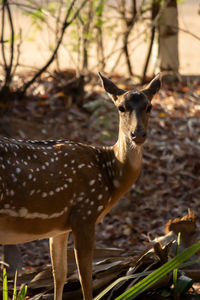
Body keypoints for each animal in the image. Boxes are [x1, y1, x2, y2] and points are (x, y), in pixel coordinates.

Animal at [0, 73, 160, 300]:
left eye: (149, 106)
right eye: (121, 107)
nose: (137, 134)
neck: (110, 173)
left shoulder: (59, 226)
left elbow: (59, 275)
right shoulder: (85, 214)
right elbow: (86, 280)